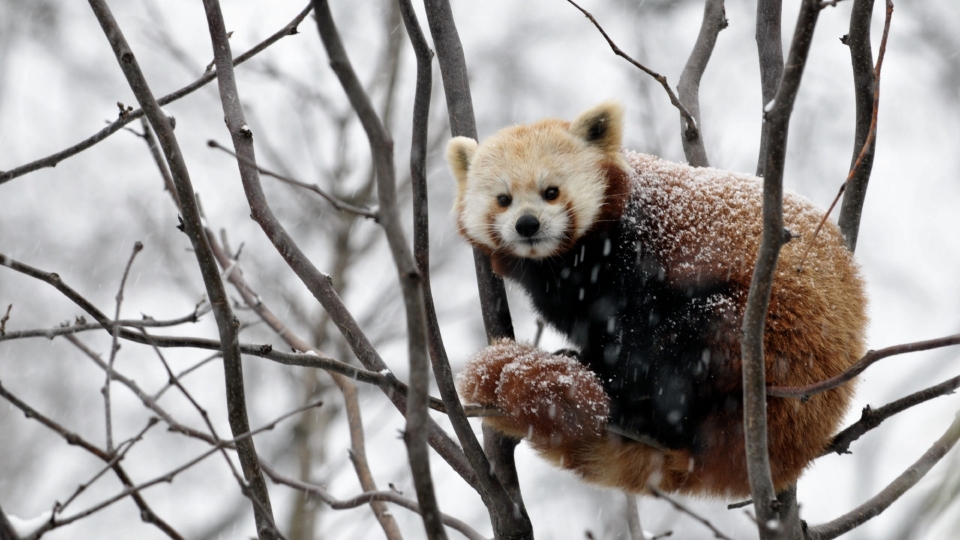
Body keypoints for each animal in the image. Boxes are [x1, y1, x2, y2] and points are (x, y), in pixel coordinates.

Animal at [446, 100, 868, 498]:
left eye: (551, 192)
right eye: (503, 199)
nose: (527, 224)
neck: (564, 263)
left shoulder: (635, 258)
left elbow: (634, 329)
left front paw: (606, 372)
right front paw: (581, 357)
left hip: (770, 344)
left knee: (690, 339)